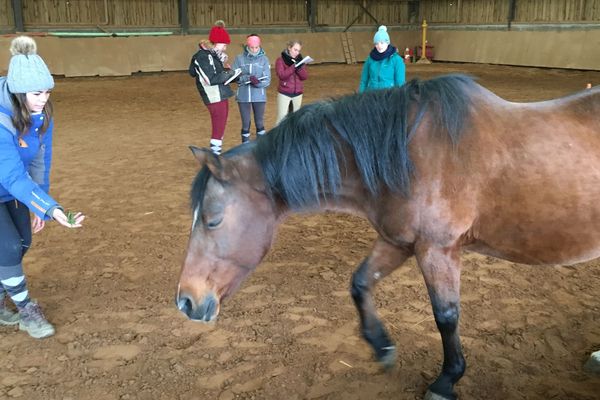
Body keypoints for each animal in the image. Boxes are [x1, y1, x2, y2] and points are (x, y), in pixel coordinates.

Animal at [176, 76, 596, 400]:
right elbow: (360, 283)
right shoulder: (399, 242)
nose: (185, 301)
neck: (411, 153)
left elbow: (446, 316)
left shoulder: (438, 249)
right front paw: (382, 346)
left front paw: (446, 380)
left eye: (213, 220)